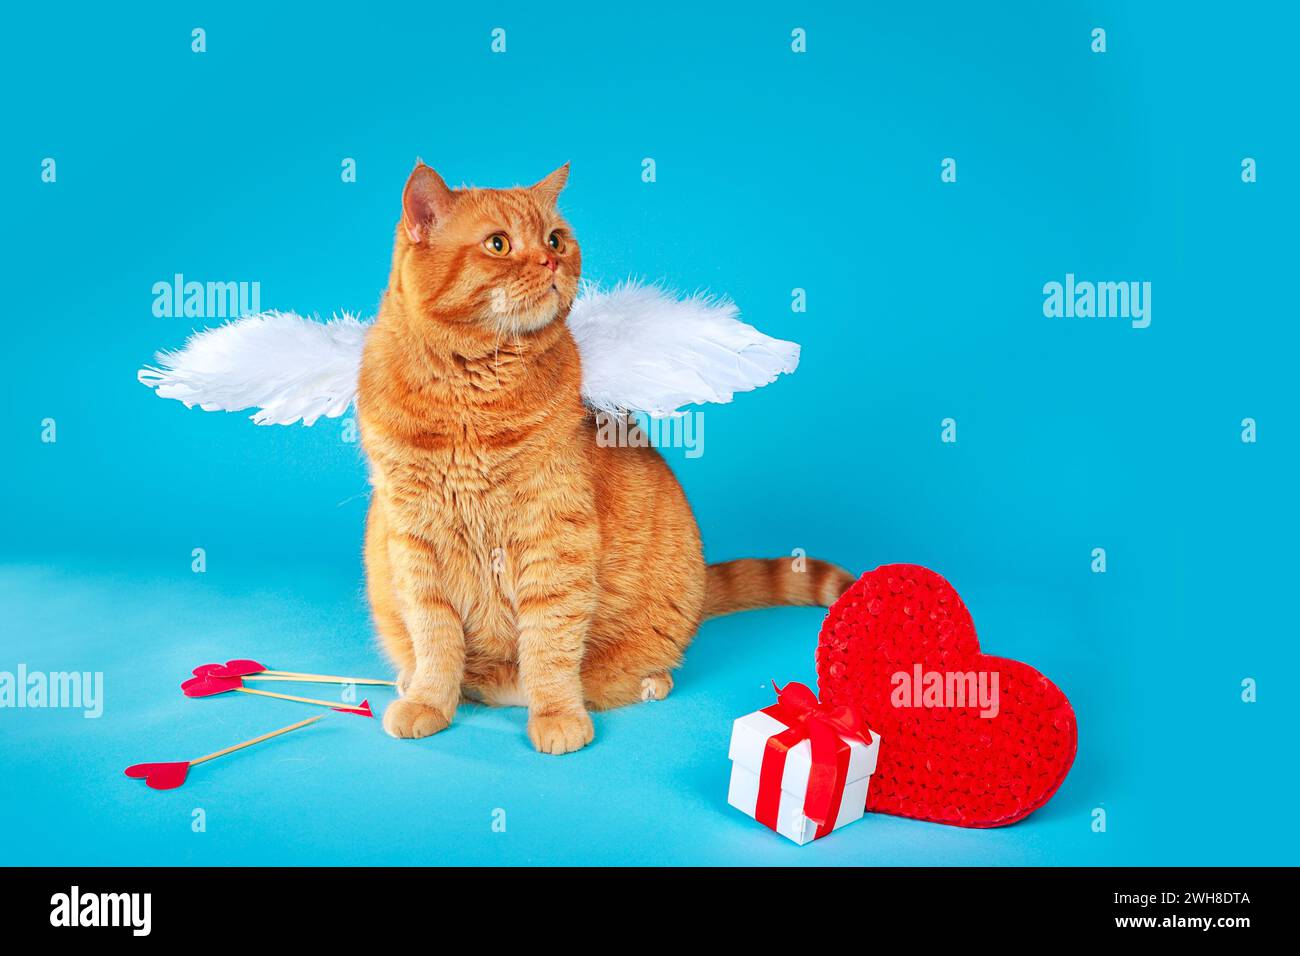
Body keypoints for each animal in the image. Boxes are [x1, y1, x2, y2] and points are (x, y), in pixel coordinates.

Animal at [356, 162, 852, 754]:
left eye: (555, 240)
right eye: (498, 244)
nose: (549, 261)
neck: (471, 396)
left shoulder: (553, 539)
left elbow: (549, 644)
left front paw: (556, 716)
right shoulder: (415, 542)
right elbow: (435, 640)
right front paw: (430, 701)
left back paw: (648, 682)